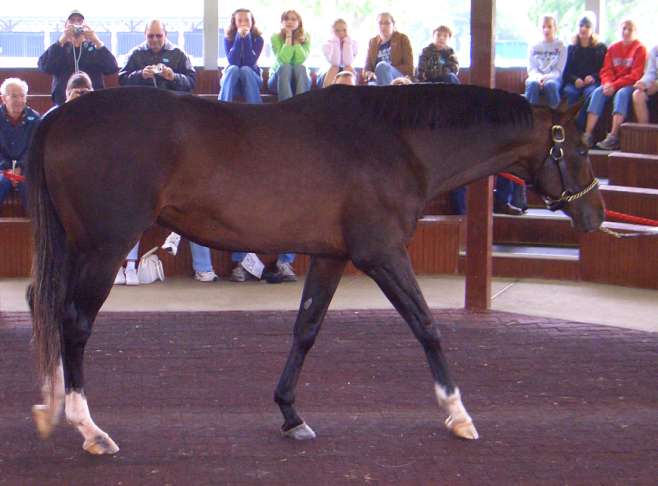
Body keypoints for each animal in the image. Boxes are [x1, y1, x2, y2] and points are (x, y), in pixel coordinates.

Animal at [28, 83, 604, 452]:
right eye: (576, 147)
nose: (596, 216)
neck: (397, 141)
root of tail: (59, 116)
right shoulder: (382, 254)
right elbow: (426, 326)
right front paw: (458, 414)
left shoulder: (331, 256)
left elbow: (306, 328)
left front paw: (290, 414)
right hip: (104, 248)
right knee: (74, 323)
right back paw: (88, 428)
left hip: (79, 248)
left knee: (46, 308)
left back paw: (48, 408)